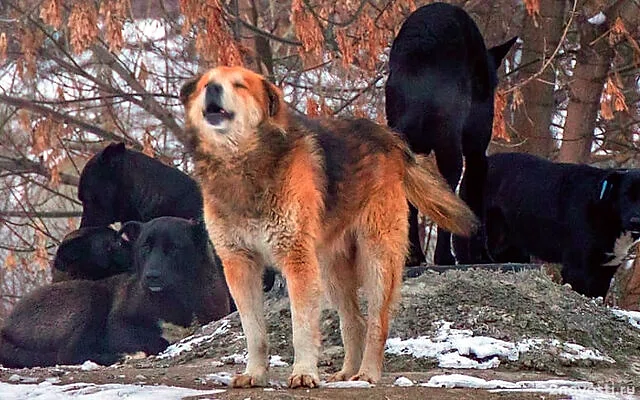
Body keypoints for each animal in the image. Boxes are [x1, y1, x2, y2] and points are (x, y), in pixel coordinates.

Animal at [0, 217, 234, 368]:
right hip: (91, 299)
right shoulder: (118, 325)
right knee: (67, 353)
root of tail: (7, 325)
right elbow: (156, 340)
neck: (176, 298)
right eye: (145, 247)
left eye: (174, 248)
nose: (151, 276)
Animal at [175, 66, 476, 388]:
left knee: (377, 323)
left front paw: (304, 373)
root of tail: (390, 138)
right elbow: (254, 332)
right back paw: (347, 373)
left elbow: (302, 328)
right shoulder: (239, 265)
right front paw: (254, 374)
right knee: (354, 322)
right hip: (330, 271)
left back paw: (367, 374)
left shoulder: (297, 261)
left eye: (240, 85)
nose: (213, 89)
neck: (241, 165)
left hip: (377, 261)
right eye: (206, 83)